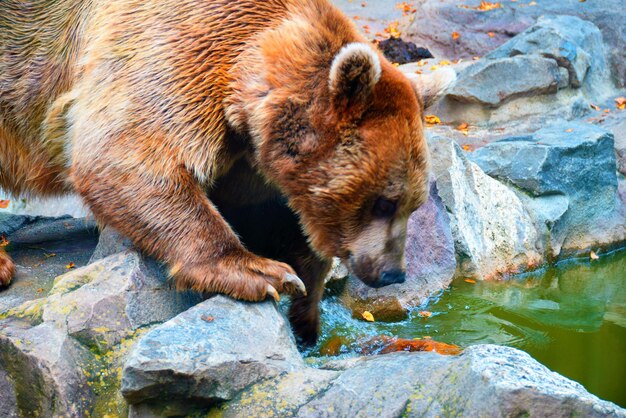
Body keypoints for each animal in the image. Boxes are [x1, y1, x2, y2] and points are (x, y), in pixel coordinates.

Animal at [0, 0, 448, 342]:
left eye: (414, 204)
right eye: (384, 202)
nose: (393, 273)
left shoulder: (248, 157)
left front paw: (305, 310)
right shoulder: (175, 50)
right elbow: (122, 152)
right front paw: (261, 272)